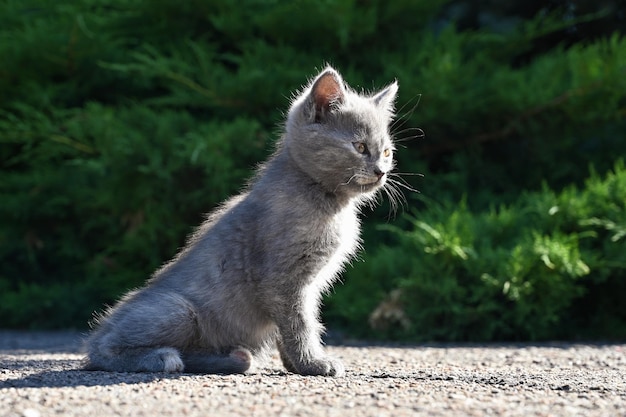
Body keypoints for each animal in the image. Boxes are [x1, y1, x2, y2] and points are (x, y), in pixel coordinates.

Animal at [84, 66, 394, 376]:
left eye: (387, 152)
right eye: (360, 146)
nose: (381, 171)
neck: (325, 198)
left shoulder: (308, 285)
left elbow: (296, 323)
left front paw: (296, 364)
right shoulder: (282, 278)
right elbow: (300, 323)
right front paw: (313, 363)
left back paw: (233, 358)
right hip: (180, 310)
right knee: (103, 350)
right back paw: (161, 357)